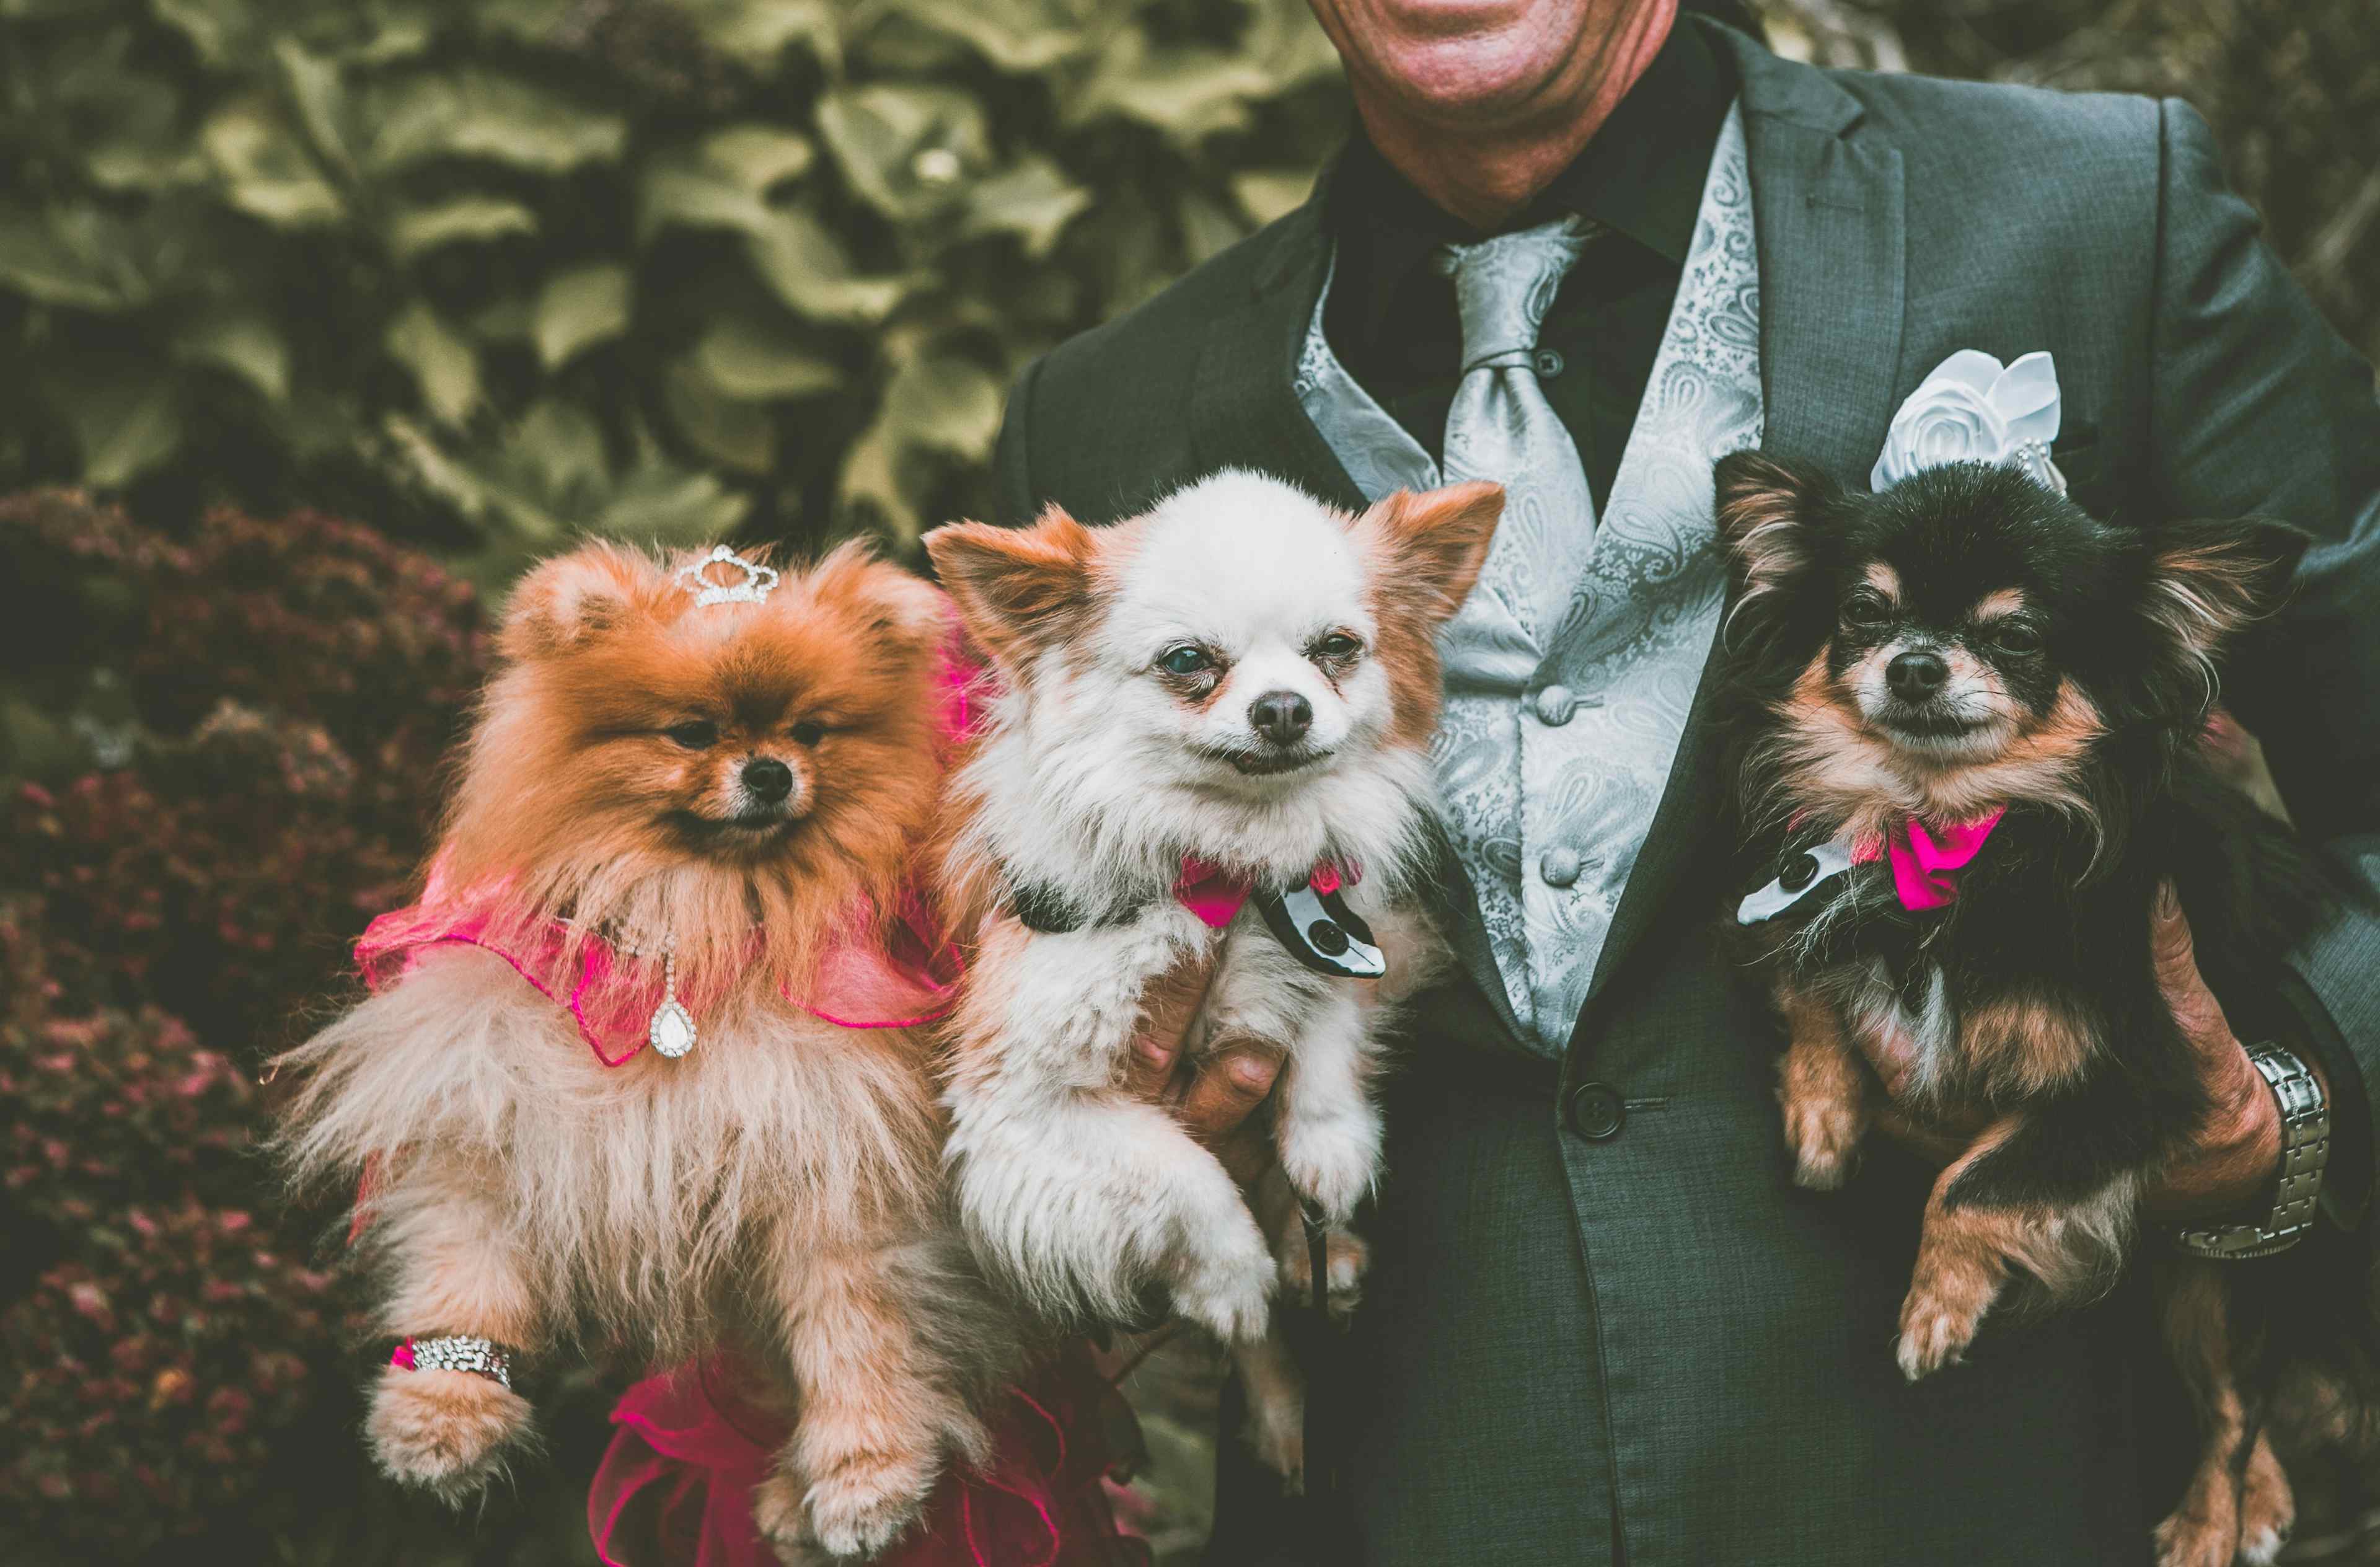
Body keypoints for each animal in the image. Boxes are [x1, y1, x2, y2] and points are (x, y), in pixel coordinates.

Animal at [273, 538, 1018, 1552]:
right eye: (691, 733)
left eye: (813, 731)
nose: (770, 771)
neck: (693, 926)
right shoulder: (501, 1095)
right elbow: (466, 1262)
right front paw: (441, 1416)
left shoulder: (837, 1153)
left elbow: (856, 1326)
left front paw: (867, 1471)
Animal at [1713, 452, 2361, 1562]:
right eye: (1865, 612)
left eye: (2016, 636)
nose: (1914, 666)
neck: (1956, 833)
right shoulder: (1804, 885)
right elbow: (1804, 974)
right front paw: (1823, 1110)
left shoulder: (2152, 1086)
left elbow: (1976, 1180)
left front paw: (1935, 1311)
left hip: (2222, 1269)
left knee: (2237, 1401)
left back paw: (2211, 1522)